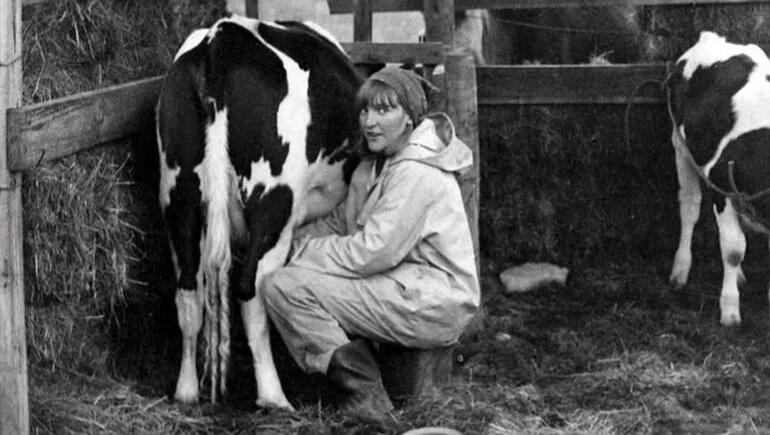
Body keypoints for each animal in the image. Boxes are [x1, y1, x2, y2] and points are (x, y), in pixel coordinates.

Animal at [156, 14, 364, 408]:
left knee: (188, 292)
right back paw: (273, 396)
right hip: (273, 206)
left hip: (178, 198)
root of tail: (222, 37)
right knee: (251, 292)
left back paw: (186, 391)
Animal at [664, 31, 768, 328]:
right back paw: (680, 271)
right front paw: (729, 311)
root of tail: (712, 38)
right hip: (681, 146)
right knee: (689, 207)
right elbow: (733, 249)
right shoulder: (723, 188)